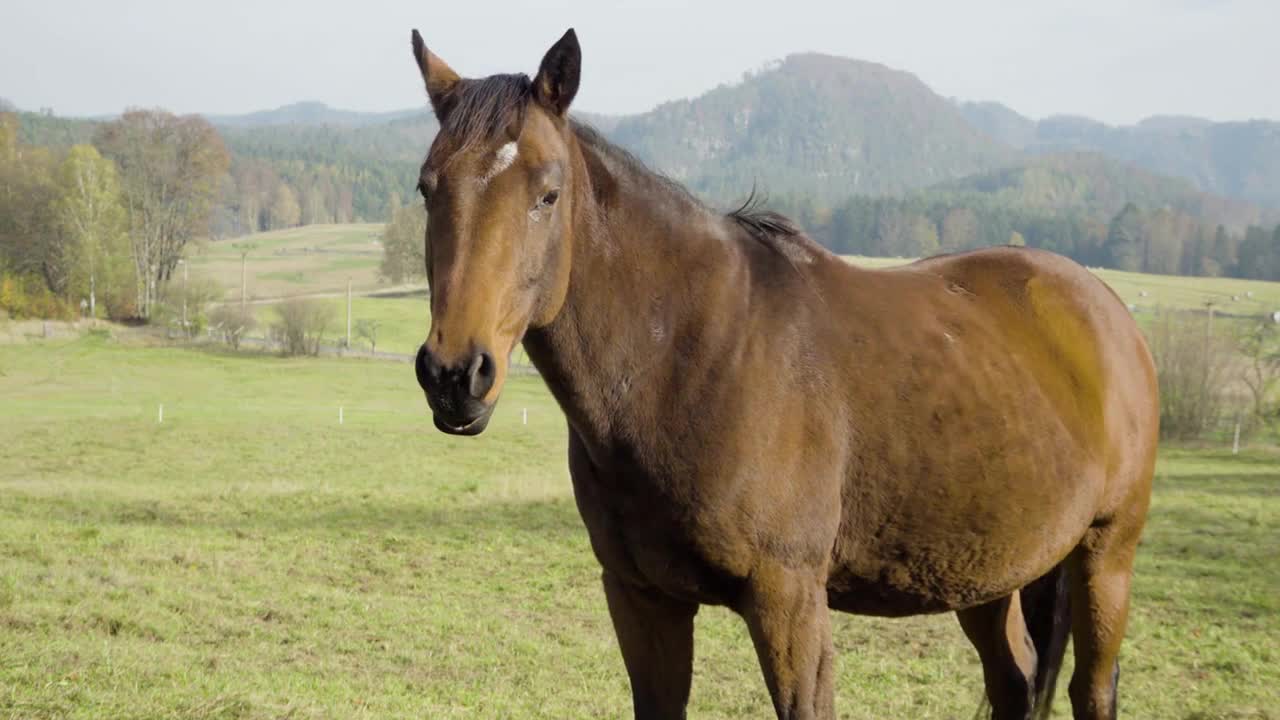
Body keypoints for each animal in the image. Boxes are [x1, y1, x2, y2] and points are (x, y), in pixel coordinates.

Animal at [407, 28, 1162, 717]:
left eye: (548, 194)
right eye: (426, 188)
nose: (455, 374)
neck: (687, 360)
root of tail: (1104, 309)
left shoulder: (788, 602)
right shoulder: (641, 597)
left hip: (1105, 557)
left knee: (1091, 689)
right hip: (983, 572)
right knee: (1014, 682)